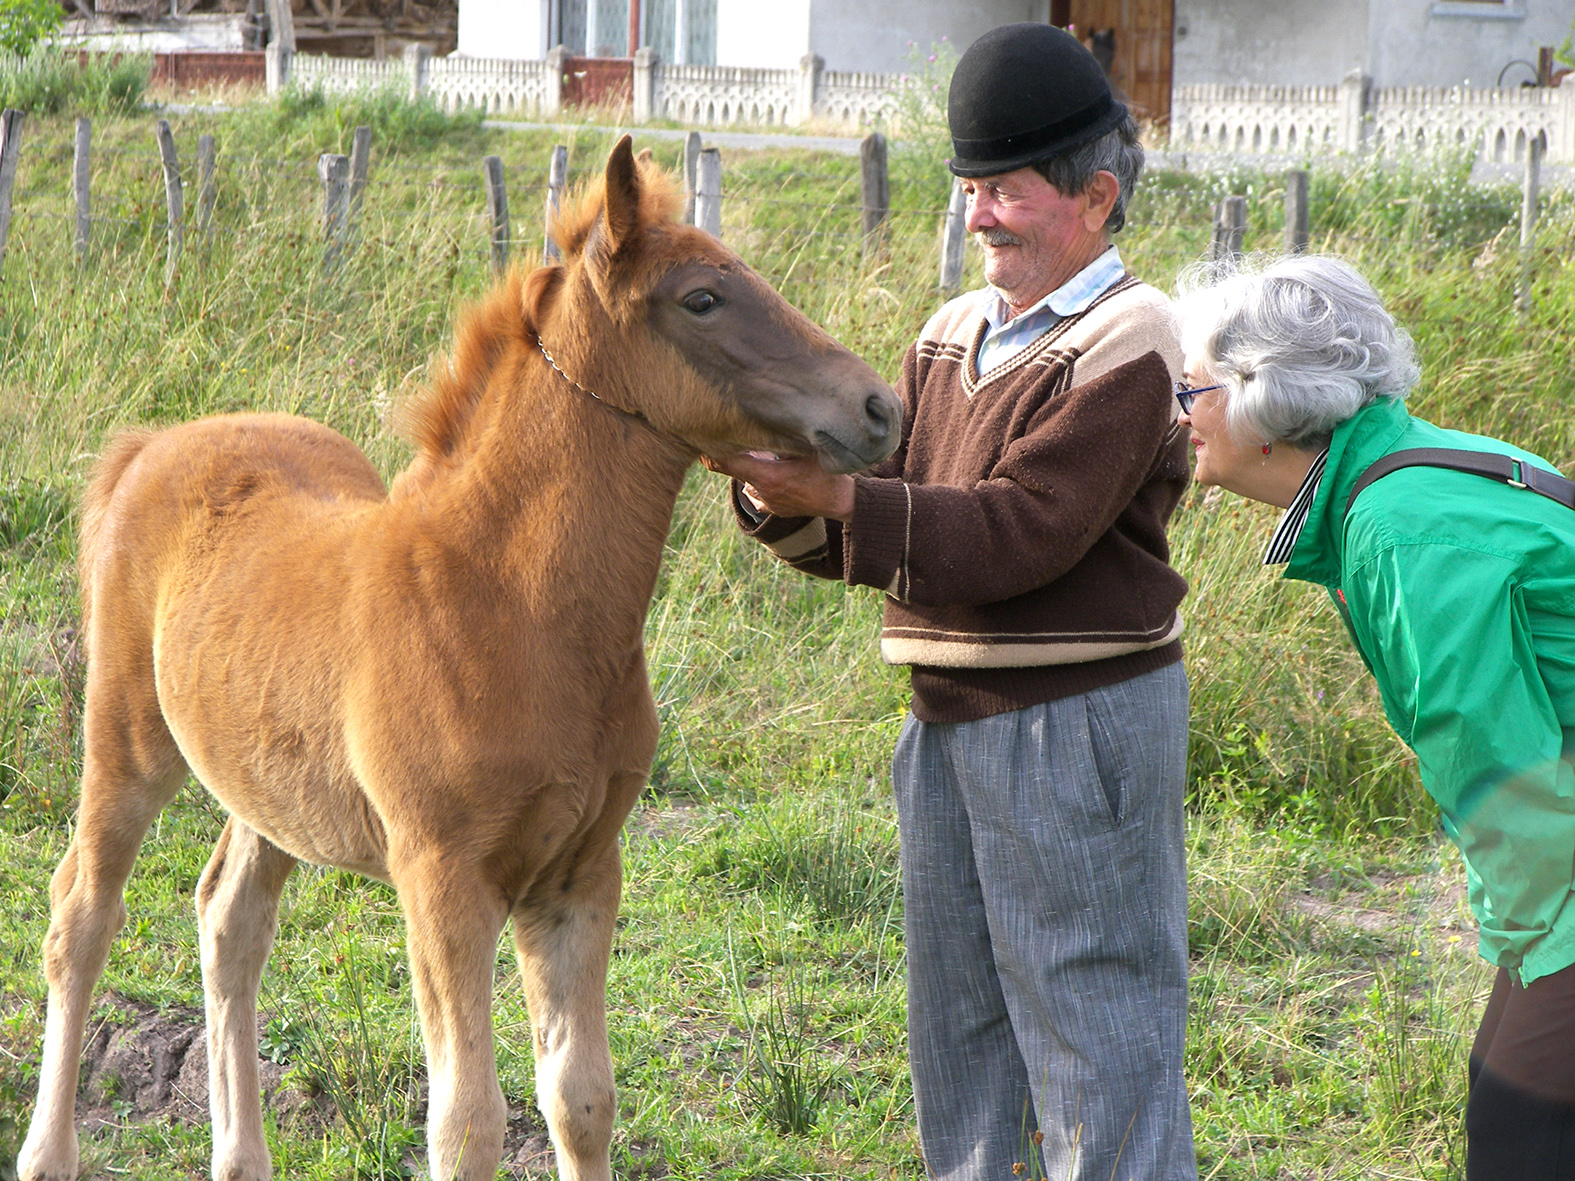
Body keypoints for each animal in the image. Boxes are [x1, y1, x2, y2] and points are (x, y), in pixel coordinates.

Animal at [21, 140, 900, 1181]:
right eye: (701, 299)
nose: (878, 405)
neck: (517, 610)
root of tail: (156, 442)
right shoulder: (444, 880)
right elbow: (467, 1121)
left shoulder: (580, 872)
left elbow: (581, 1098)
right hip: (125, 738)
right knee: (81, 913)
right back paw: (48, 1152)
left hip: (265, 782)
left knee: (229, 919)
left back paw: (241, 1155)